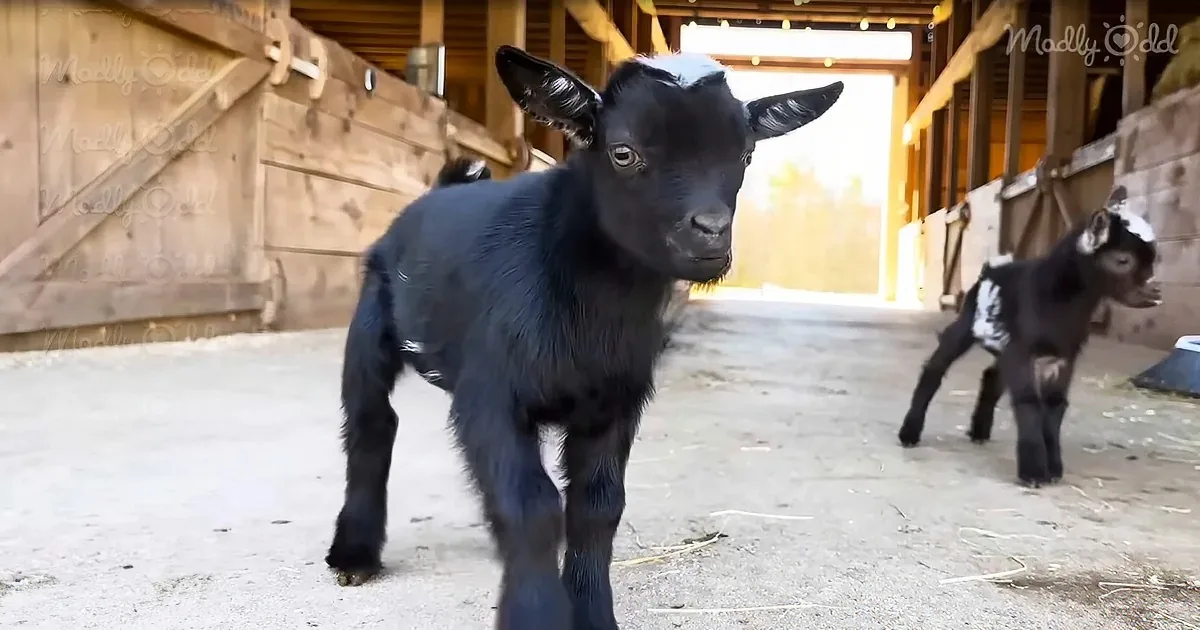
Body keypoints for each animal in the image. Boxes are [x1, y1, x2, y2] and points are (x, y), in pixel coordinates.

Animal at [324, 45, 844, 629]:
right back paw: (353, 554)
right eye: (623, 152)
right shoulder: (491, 394)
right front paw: (535, 613)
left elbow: (597, 508)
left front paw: (593, 613)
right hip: (370, 325)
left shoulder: (614, 401)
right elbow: (532, 506)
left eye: (747, 155)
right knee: (371, 424)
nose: (710, 233)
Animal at [897, 185, 1161, 488]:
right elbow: (1028, 403)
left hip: (1006, 346)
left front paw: (1054, 468)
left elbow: (1054, 407)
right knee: (935, 368)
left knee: (991, 376)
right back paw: (909, 432)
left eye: (1154, 256)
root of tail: (991, 268)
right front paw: (1034, 472)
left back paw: (979, 431)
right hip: (966, 323)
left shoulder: (1061, 358)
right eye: (1122, 260)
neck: (1056, 300)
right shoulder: (1023, 354)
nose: (1155, 291)